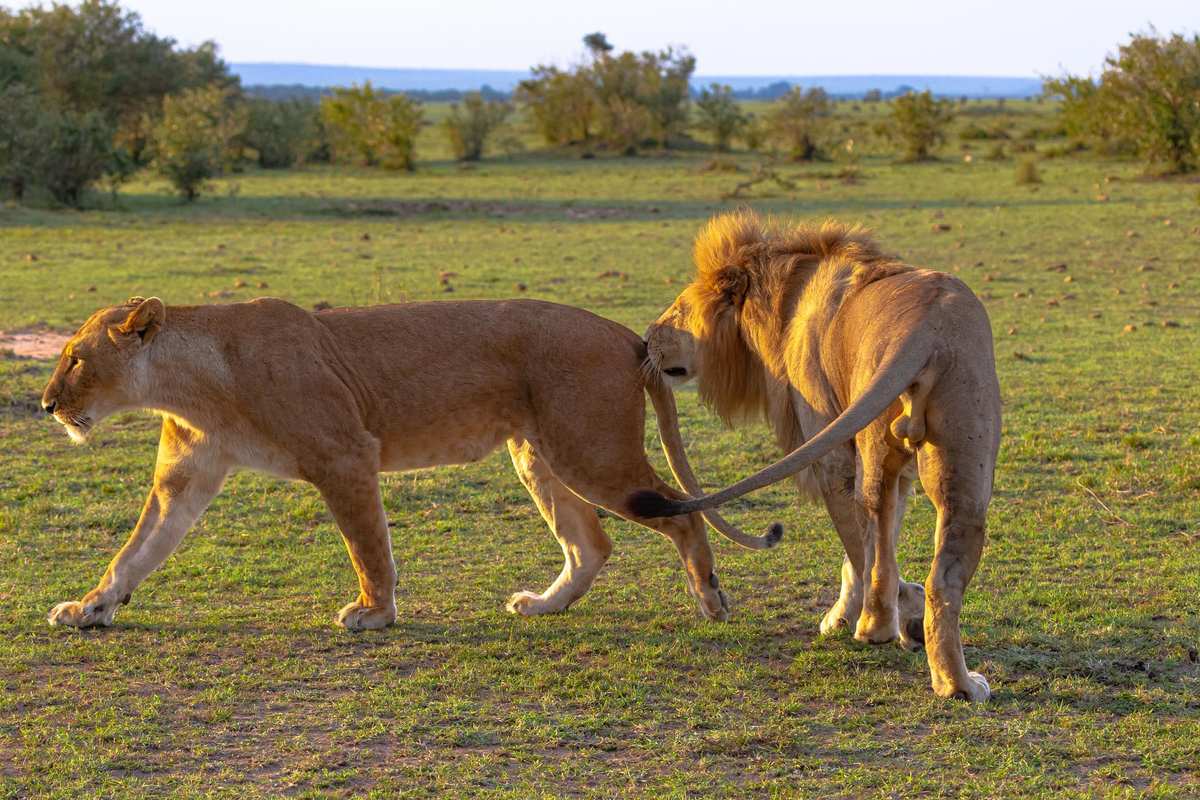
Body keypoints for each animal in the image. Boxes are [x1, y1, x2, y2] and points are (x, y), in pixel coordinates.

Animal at [41, 296, 783, 632]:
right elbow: (136, 551)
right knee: (591, 543)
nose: (47, 403)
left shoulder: (345, 454)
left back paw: (710, 600)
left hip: (592, 453)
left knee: (680, 518)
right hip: (538, 454)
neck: (192, 384)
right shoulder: (184, 477)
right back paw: (545, 604)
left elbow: (367, 544)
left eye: (74, 357)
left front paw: (374, 612)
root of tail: (629, 335)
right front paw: (91, 607)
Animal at [630, 211, 1001, 701]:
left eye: (678, 310)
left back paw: (875, 627)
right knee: (941, 572)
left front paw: (859, 617)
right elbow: (877, 546)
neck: (782, 296)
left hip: (871, 437)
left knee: (874, 542)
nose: (645, 340)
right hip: (965, 459)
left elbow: (859, 551)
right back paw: (958, 683)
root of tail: (930, 330)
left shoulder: (830, 450)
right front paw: (903, 615)